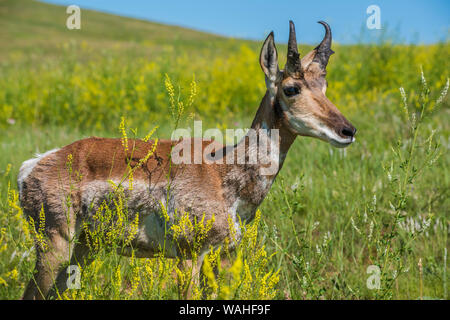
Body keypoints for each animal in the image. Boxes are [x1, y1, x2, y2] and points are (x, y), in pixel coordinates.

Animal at [19, 21, 356, 298]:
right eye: (291, 88)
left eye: (324, 87)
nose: (348, 131)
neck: (224, 169)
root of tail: (36, 163)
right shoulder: (189, 256)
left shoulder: (220, 256)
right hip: (55, 246)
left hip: (84, 249)